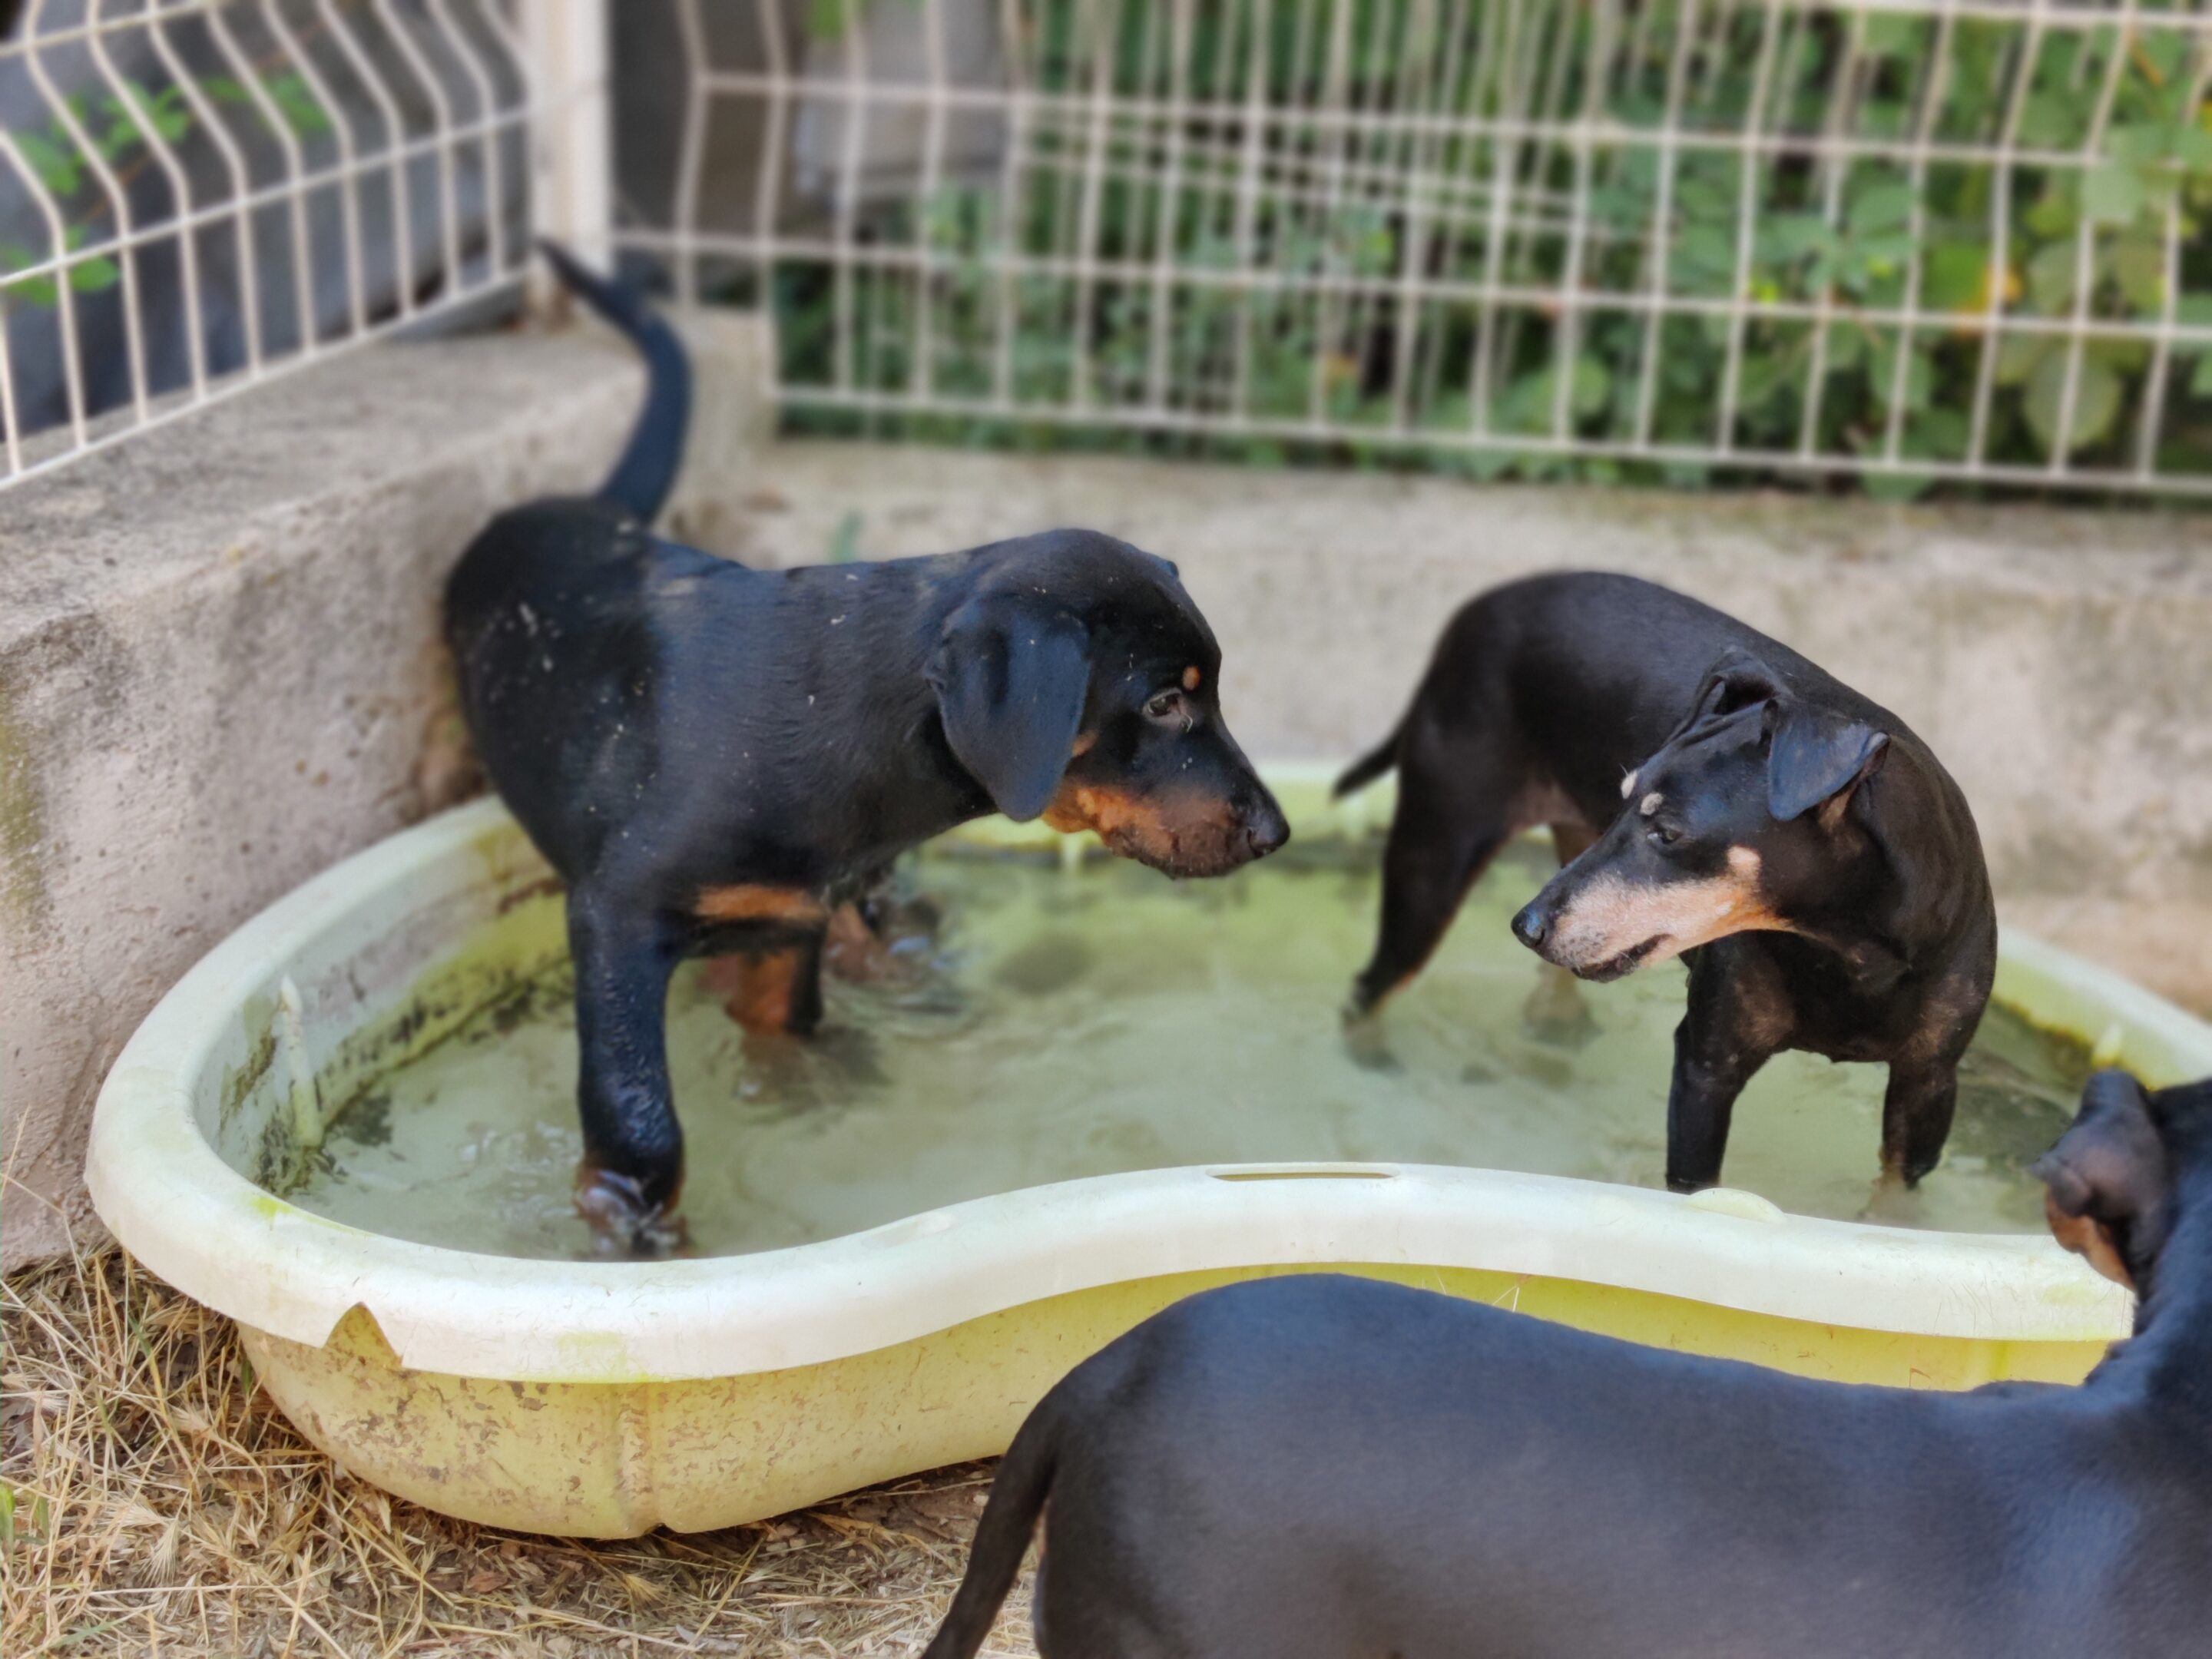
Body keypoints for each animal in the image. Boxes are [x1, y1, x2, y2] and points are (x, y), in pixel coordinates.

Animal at [440, 247, 1291, 1256]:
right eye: (1162, 702)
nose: (1276, 832)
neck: (836, 728)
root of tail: (582, 507)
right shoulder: (614, 917)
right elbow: (638, 1120)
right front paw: (636, 1232)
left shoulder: (792, 923)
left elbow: (784, 1029)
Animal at [1336, 575, 1999, 1194]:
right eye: (1625, 800)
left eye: (1669, 833)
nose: (1525, 927)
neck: (1849, 946)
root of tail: (1474, 611)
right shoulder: (1705, 1065)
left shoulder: (1930, 1080)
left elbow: (1898, 1194)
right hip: (1436, 856)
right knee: (1372, 986)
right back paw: (1368, 1061)